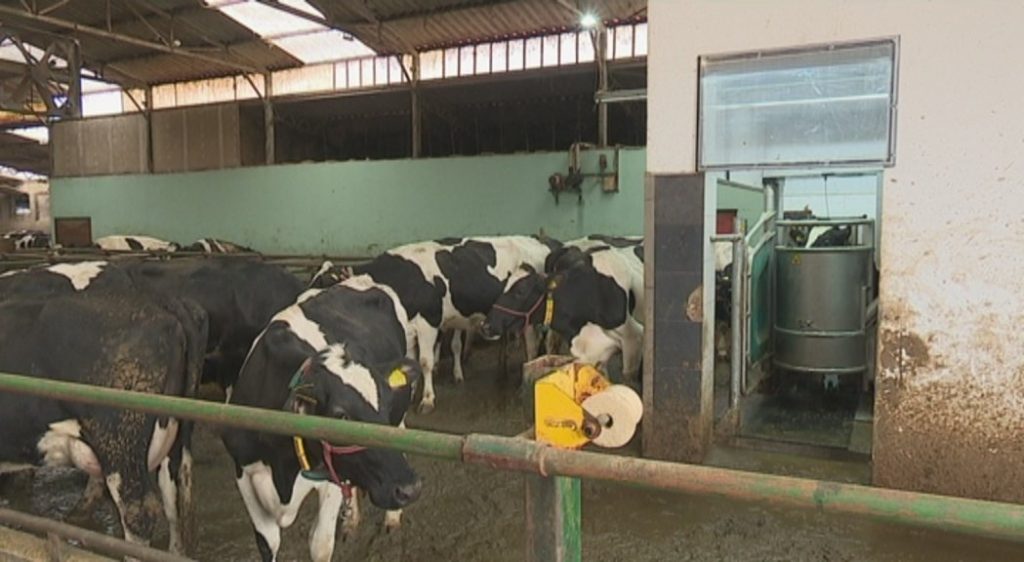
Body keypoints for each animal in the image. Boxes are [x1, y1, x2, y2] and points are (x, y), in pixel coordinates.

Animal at [222, 275, 423, 562]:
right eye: (341, 416)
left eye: (386, 403)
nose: (410, 489)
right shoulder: (244, 473)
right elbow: (267, 543)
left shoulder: (330, 479)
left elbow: (321, 545)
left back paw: (391, 518)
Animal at [310, 235, 555, 412]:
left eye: (326, 281)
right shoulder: (409, 328)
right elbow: (410, 360)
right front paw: (410, 391)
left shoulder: (429, 322)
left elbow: (426, 361)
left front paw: (427, 399)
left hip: (528, 315)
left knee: (531, 344)